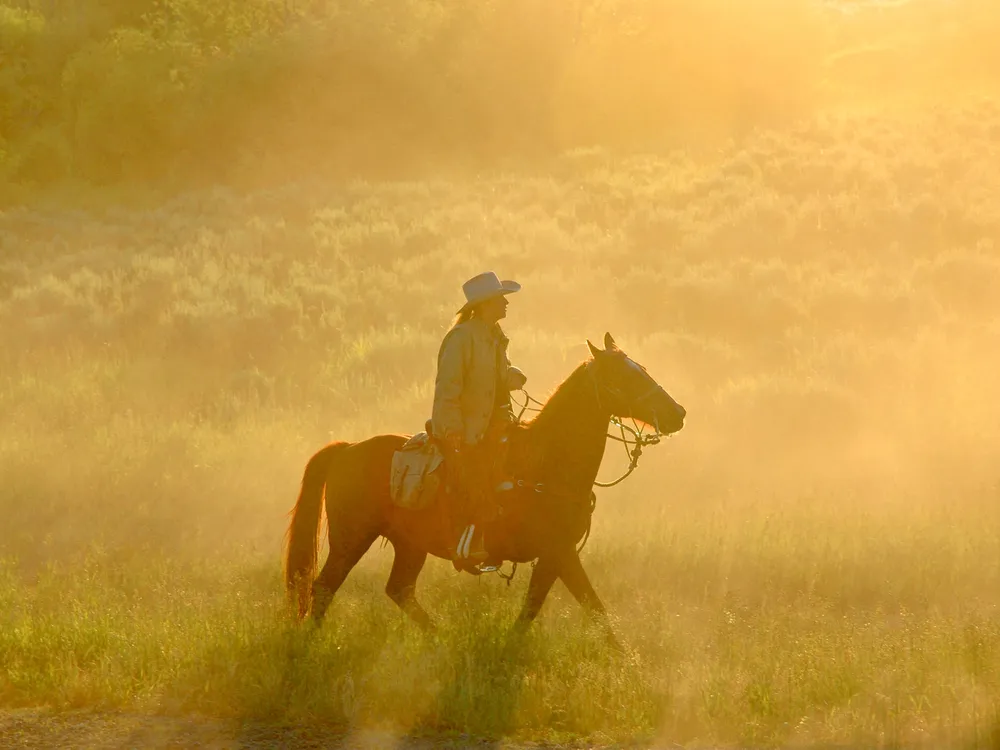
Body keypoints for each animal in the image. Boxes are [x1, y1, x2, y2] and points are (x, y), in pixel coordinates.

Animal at [286, 334, 684, 648]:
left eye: (642, 368)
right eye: (624, 376)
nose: (677, 413)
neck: (546, 462)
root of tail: (347, 448)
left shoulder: (557, 555)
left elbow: (568, 608)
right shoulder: (558, 552)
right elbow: (572, 608)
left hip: (410, 545)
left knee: (399, 589)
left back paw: (441, 640)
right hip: (350, 539)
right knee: (324, 587)